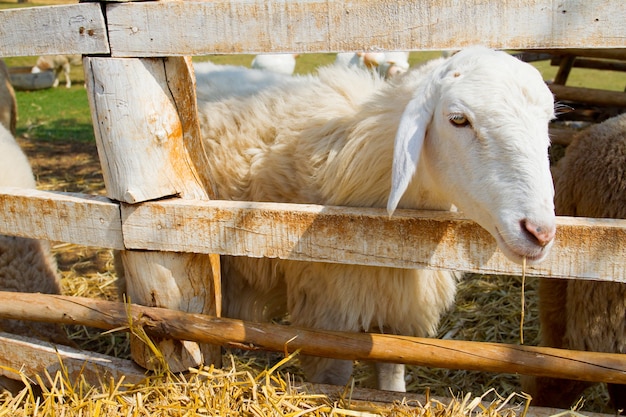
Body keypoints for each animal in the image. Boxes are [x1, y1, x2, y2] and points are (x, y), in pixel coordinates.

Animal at [196, 47, 556, 392]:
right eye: (458, 119)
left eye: (548, 120)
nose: (539, 232)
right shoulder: (329, 309)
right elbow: (334, 380)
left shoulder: (395, 302)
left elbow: (392, 375)